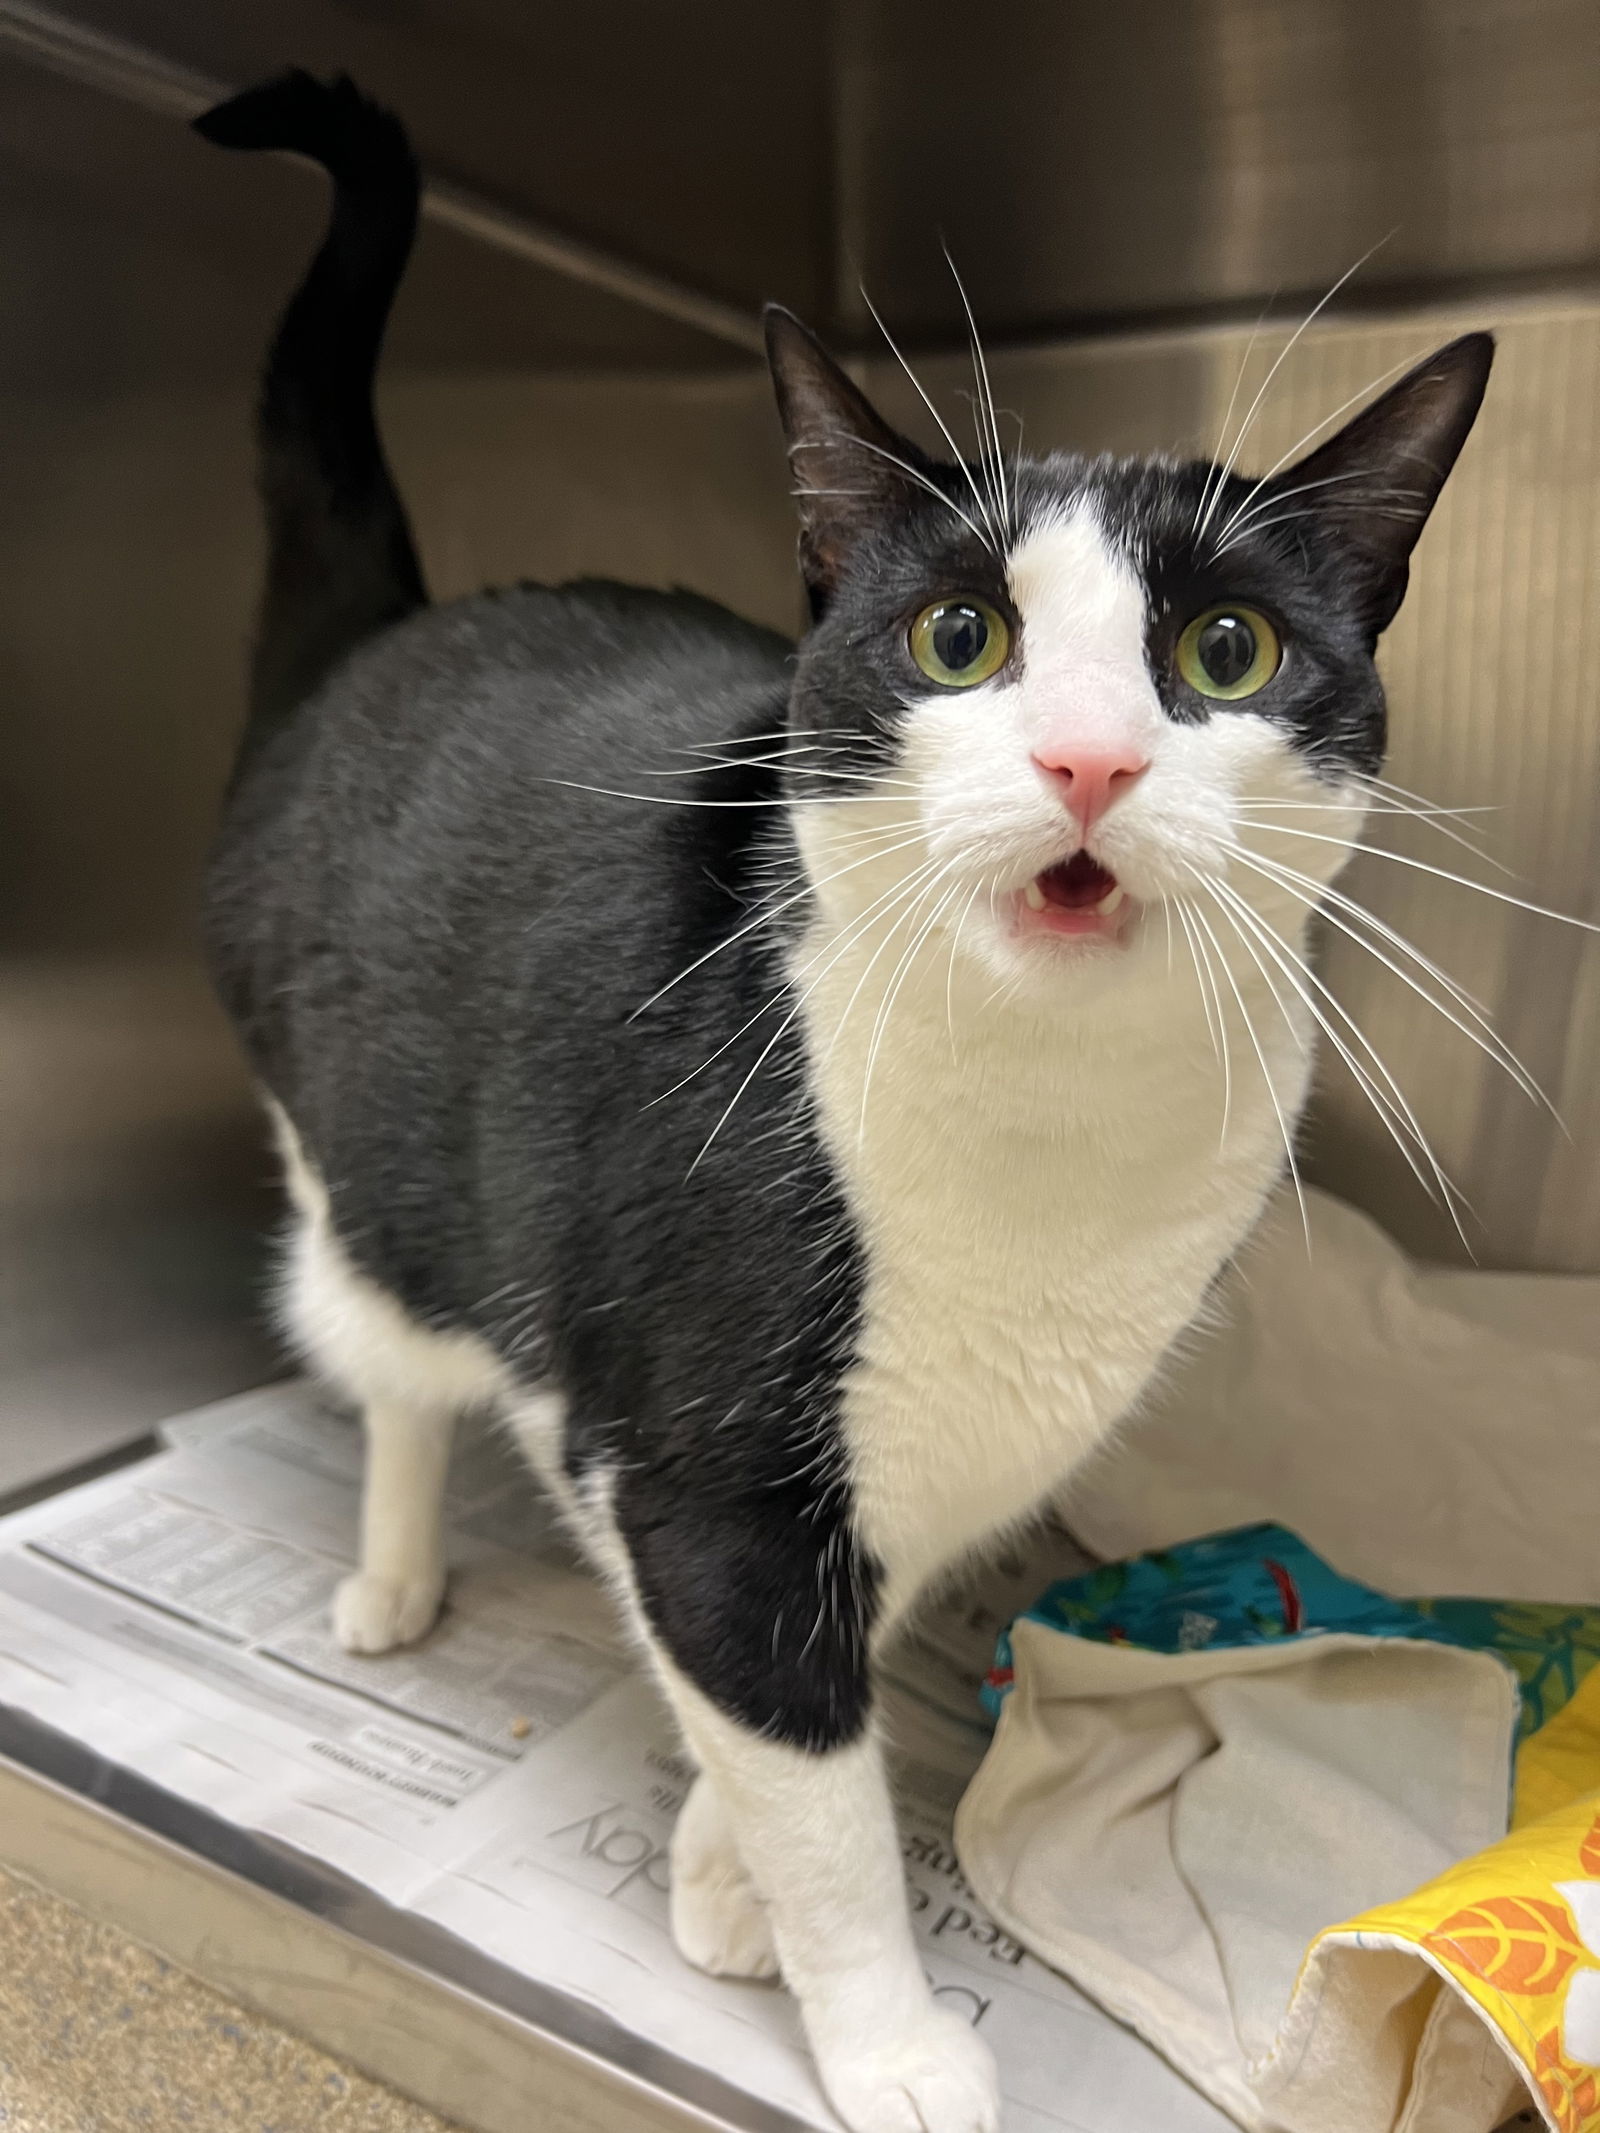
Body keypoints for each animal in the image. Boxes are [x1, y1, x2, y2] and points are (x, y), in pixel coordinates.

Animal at [197, 70, 1493, 2133]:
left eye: (1226, 651)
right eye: (961, 638)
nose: (1089, 757)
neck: (1043, 1141)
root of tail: (390, 637)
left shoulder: (928, 1463)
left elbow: (822, 1683)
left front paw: (724, 1869)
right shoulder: (705, 1473)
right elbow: (801, 1750)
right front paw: (877, 2026)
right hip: (362, 1178)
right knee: (391, 1360)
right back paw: (391, 1577)